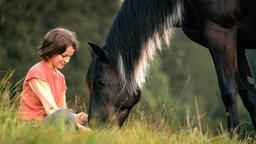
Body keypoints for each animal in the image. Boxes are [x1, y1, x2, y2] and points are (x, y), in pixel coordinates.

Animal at [85, 0, 256, 133]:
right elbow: (249, 95)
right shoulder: (237, 44)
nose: (93, 125)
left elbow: (229, 92)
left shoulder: (220, 33)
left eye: (101, 82)